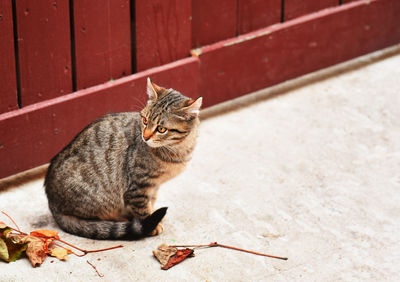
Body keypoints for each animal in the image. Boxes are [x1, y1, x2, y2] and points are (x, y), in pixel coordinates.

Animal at [44, 78, 203, 239]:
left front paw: (153, 213)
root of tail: (52, 204)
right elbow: (142, 209)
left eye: (161, 129)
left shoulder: (154, 186)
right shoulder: (138, 186)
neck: (177, 149)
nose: (145, 136)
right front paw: (151, 224)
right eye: (145, 120)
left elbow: (151, 201)